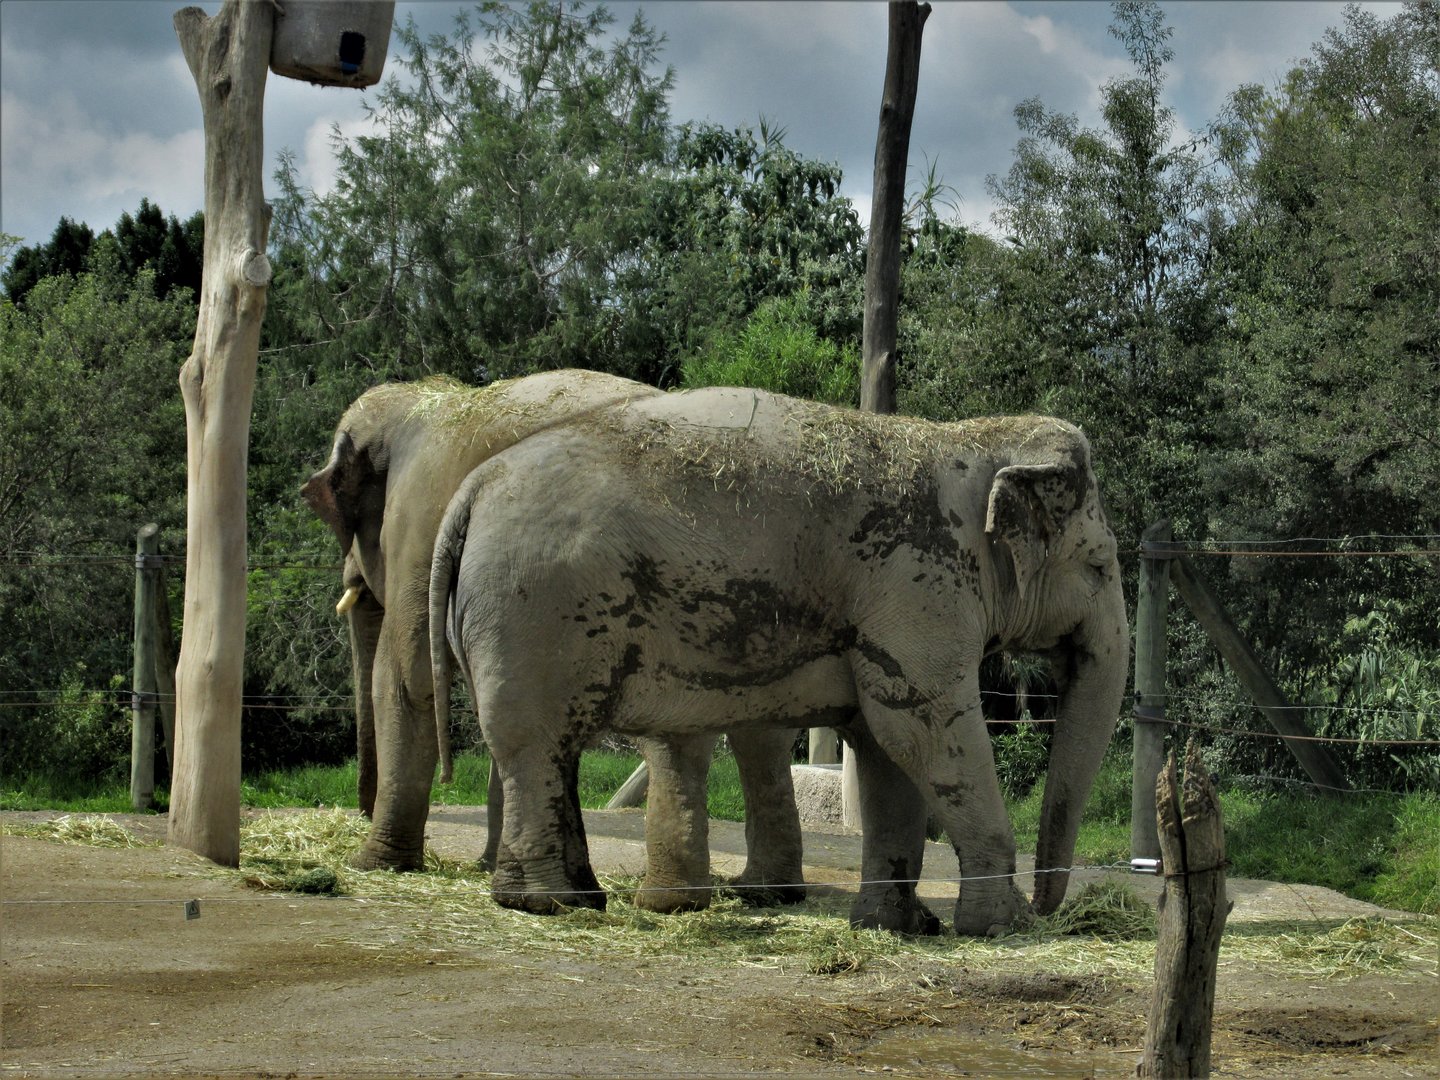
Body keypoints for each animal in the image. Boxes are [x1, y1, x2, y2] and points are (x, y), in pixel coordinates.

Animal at [302, 371, 805, 905]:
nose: (356, 812)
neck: (427, 397)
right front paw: (486, 866)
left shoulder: (417, 520)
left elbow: (404, 680)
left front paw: (376, 865)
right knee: (757, 728)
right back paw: (763, 891)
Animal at [429, 387, 1129, 936]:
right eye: (1099, 566)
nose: (1051, 907)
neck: (972, 440)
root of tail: (469, 491)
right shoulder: (917, 583)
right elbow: (922, 730)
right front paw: (1001, 927)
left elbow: (883, 744)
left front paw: (899, 927)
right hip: (531, 613)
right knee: (536, 745)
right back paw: (549, 904)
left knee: (552, 751)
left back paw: (575, 899)